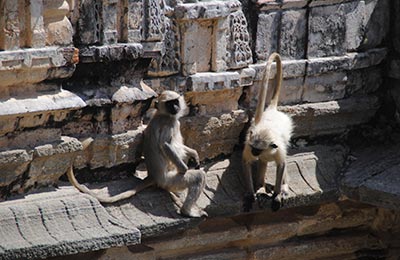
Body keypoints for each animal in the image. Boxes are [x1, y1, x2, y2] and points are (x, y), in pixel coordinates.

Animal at [66, 89, 208, 217]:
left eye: (175, 101)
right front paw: (184, 168)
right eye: (169, 104)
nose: (175, 107)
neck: (161, 114)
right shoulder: (169, 123)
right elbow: (165, 145)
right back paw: (186, 211)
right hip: (169, 180)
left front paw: (194, 154)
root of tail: (153, 176)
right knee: (198, 177)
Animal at [241, 52, 294, 211]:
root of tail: (271, 110)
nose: (254, 152)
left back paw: (282, 188)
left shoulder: (277, 149)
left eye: (257, 149)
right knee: (263, 162)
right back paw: (260, 186)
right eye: (253, 148)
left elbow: (281, 164)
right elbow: (246, 162)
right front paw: (250, 194)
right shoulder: (249, 143)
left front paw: (277, 195)